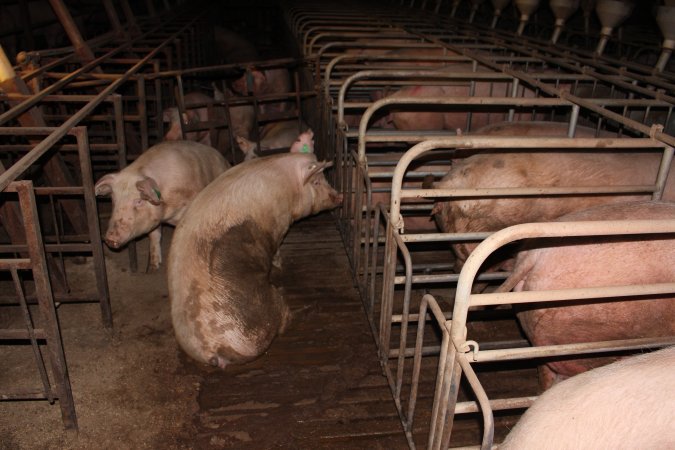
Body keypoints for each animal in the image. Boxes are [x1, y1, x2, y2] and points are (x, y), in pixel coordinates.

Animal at [93, 141, 232, 268]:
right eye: (113, 199)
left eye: (139, 201)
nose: (110, 238)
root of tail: (224, 160)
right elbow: (154, 236)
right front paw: (154, 265)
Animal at [169, 151, 344, 370]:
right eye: (318, 182)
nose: (340, 196)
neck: (289, 187)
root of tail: (214, 350)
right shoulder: (280, 223)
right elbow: (276, 249)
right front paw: (279, 263)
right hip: (262, 310)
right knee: (283, 322)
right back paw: (310, 304)